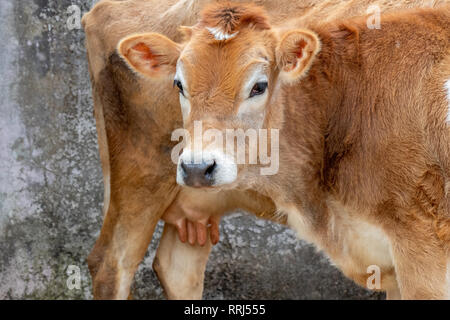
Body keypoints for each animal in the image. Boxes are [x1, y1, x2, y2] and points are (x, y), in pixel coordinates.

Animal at [83, 0, 446, 300]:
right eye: (178, 84)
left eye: (259, 86)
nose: (198, 167)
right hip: (139, 181)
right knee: (112, 265)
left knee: (177, 268)